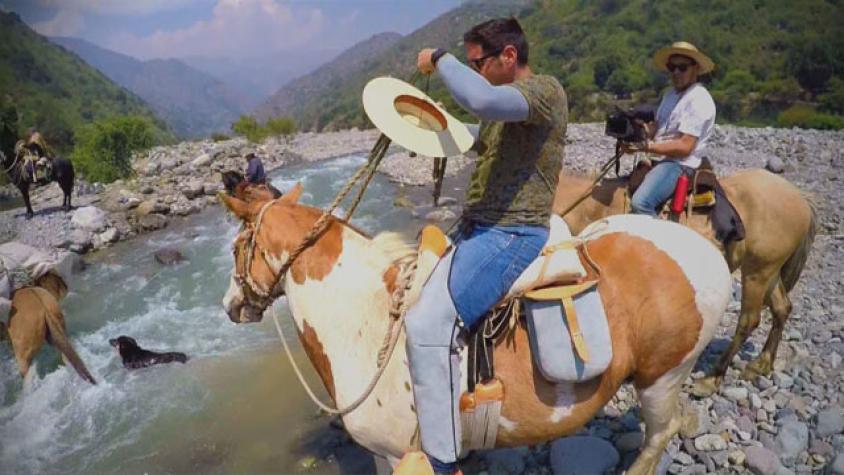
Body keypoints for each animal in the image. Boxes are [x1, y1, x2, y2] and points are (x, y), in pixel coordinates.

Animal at [219, 184, 732, 474]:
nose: (229, 306)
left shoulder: (395, 454)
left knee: (659, 435)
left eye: (235, 247)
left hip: (662, 377)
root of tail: (703, 246)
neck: (365, 319)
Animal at [552, 170, 816, 394]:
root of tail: (801, 199)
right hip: (769, 271)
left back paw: (712, 378)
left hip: (757, 272)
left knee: (749, 320)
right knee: (782, 308)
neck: (592, 211)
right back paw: (761, 364)